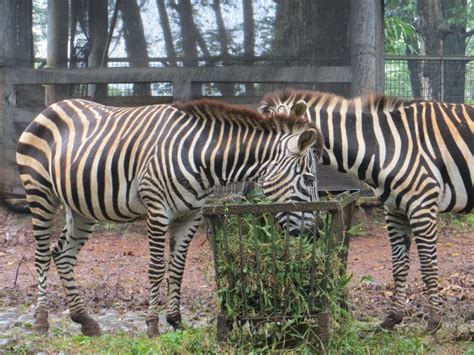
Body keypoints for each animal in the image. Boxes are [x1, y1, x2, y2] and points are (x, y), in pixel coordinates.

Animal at [16, 97, 324, 336]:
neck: (202, 158)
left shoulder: (190, 216)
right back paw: (41, 321)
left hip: (81, 208)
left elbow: (177, 269)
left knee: (62, 254)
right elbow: (156, 268)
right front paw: (152, 325)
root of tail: (53, 106)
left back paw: (85, 320)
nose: (316, 234)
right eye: (309, 180)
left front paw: (176, 321)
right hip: (40, 194)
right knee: (42, 255)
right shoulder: (157, 210)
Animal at [260, 89, 474, 334]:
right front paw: (392, 318)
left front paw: (434, 322)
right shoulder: (394, 210)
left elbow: (428, 265)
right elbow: (399, 266)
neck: (384, 145)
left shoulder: (422, 205)